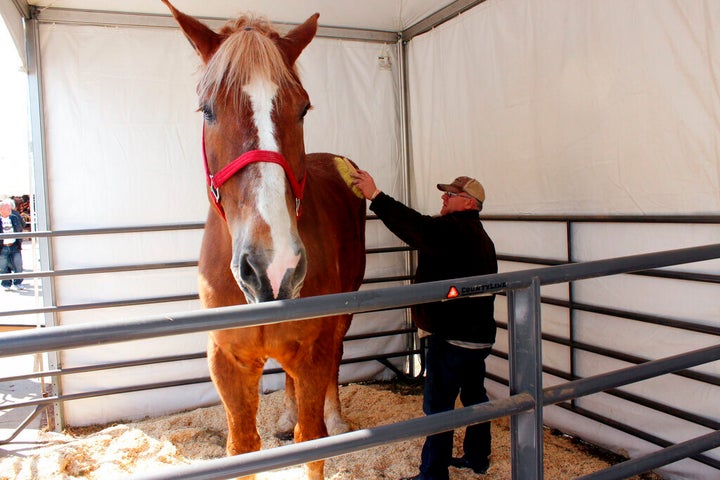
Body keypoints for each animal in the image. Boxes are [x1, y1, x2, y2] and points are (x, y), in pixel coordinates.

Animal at [162, 1, 366, 478]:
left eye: (304, 108)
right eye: (207, 110)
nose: (274, 269)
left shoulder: (313, 352)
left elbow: (311, 442)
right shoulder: (229, 363)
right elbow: (243, 448)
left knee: (337, 357)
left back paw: (337, 416)